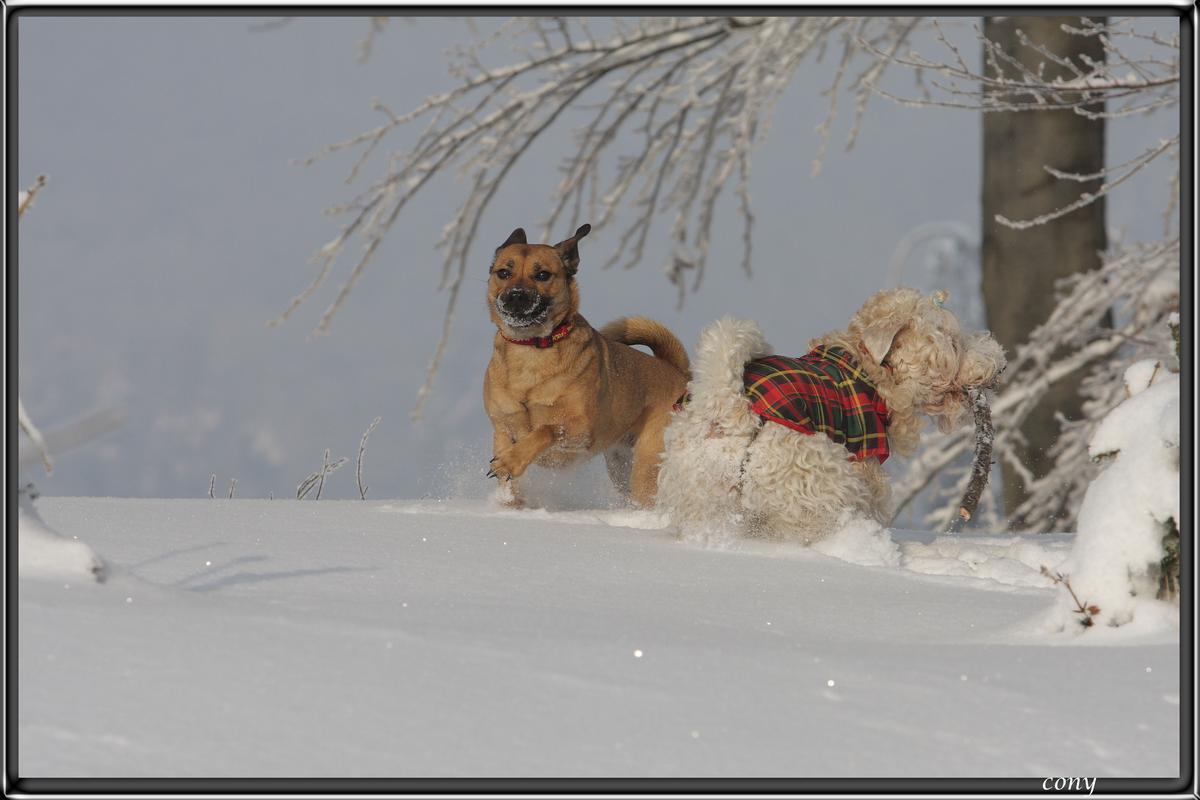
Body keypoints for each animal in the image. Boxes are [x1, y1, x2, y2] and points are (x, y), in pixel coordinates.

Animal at [484, 224, 691, 506]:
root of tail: (681, 375)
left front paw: (511, 462)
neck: (530, 347)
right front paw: (510, 502)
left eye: (542, 274)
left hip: (647, 463)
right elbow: (511, 482)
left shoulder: (581, 430)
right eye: (503, 272)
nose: (515, 296)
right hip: (619, 465)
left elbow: (547, 430)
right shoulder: (503, 429)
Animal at [657, 287, 1003, 544]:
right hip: (819, 480)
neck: (874, 372)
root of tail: (730, 408)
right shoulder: (866, 468)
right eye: (952, 341)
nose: (999, 364)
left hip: (704, 498)